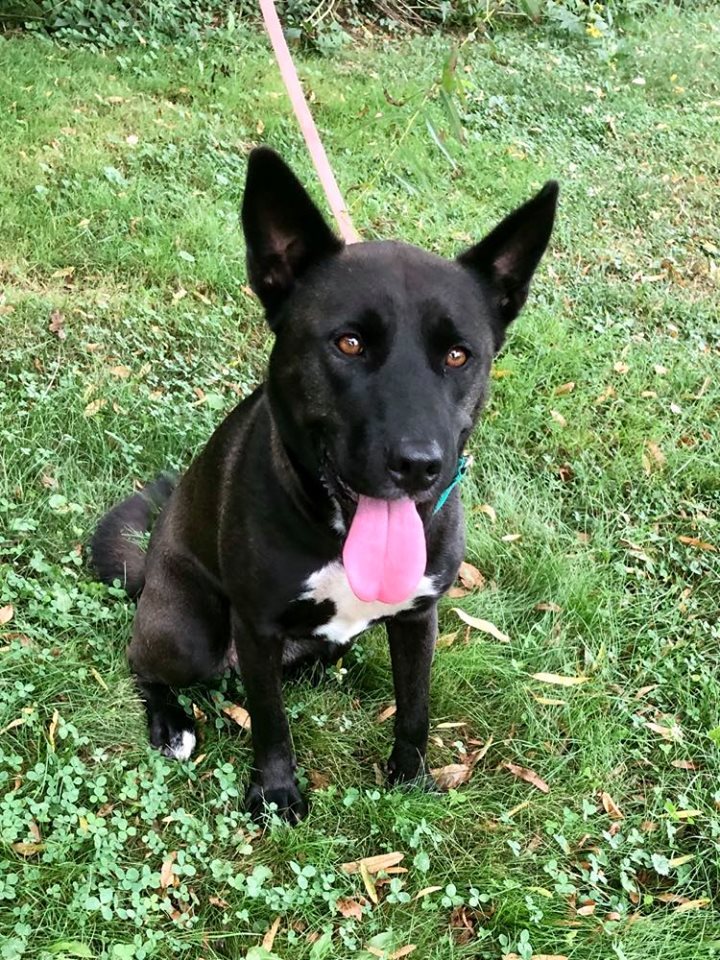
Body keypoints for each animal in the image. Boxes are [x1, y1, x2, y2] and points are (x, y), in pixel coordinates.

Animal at [93, 146, 556, 820]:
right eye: (350, 342)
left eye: (458, 355)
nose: (420, 465)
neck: (337, 531)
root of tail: (148, 573)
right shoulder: (255, 627)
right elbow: (271, 722)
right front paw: (276, 792)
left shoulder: (419, 618)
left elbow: (415, 709)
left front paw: (410, 780)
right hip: (187, 630)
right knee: (144, 664)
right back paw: (169, 721)